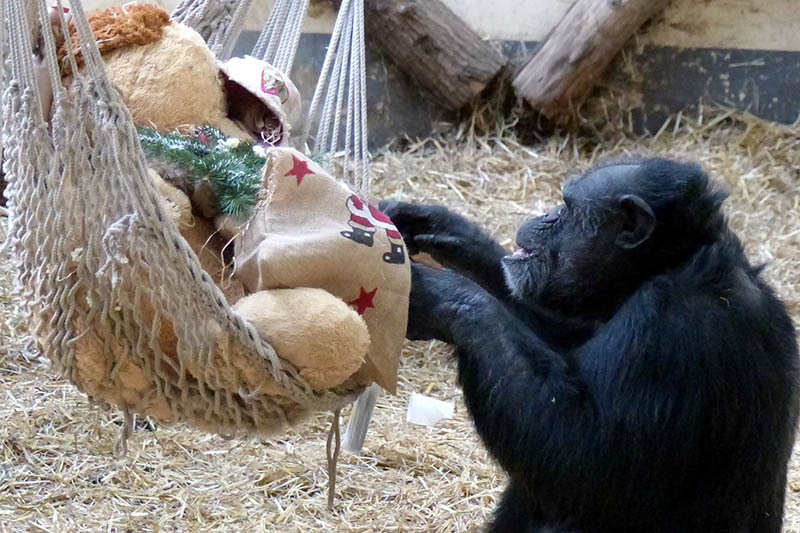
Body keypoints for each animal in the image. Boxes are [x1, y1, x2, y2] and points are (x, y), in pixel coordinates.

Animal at [382, 159, 800, 532]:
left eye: (567, 207)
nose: (547, 214)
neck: (664, 266)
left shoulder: (669, 327)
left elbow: (584, 455)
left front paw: (442, 294)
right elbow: (564, 345)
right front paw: (443, 227)